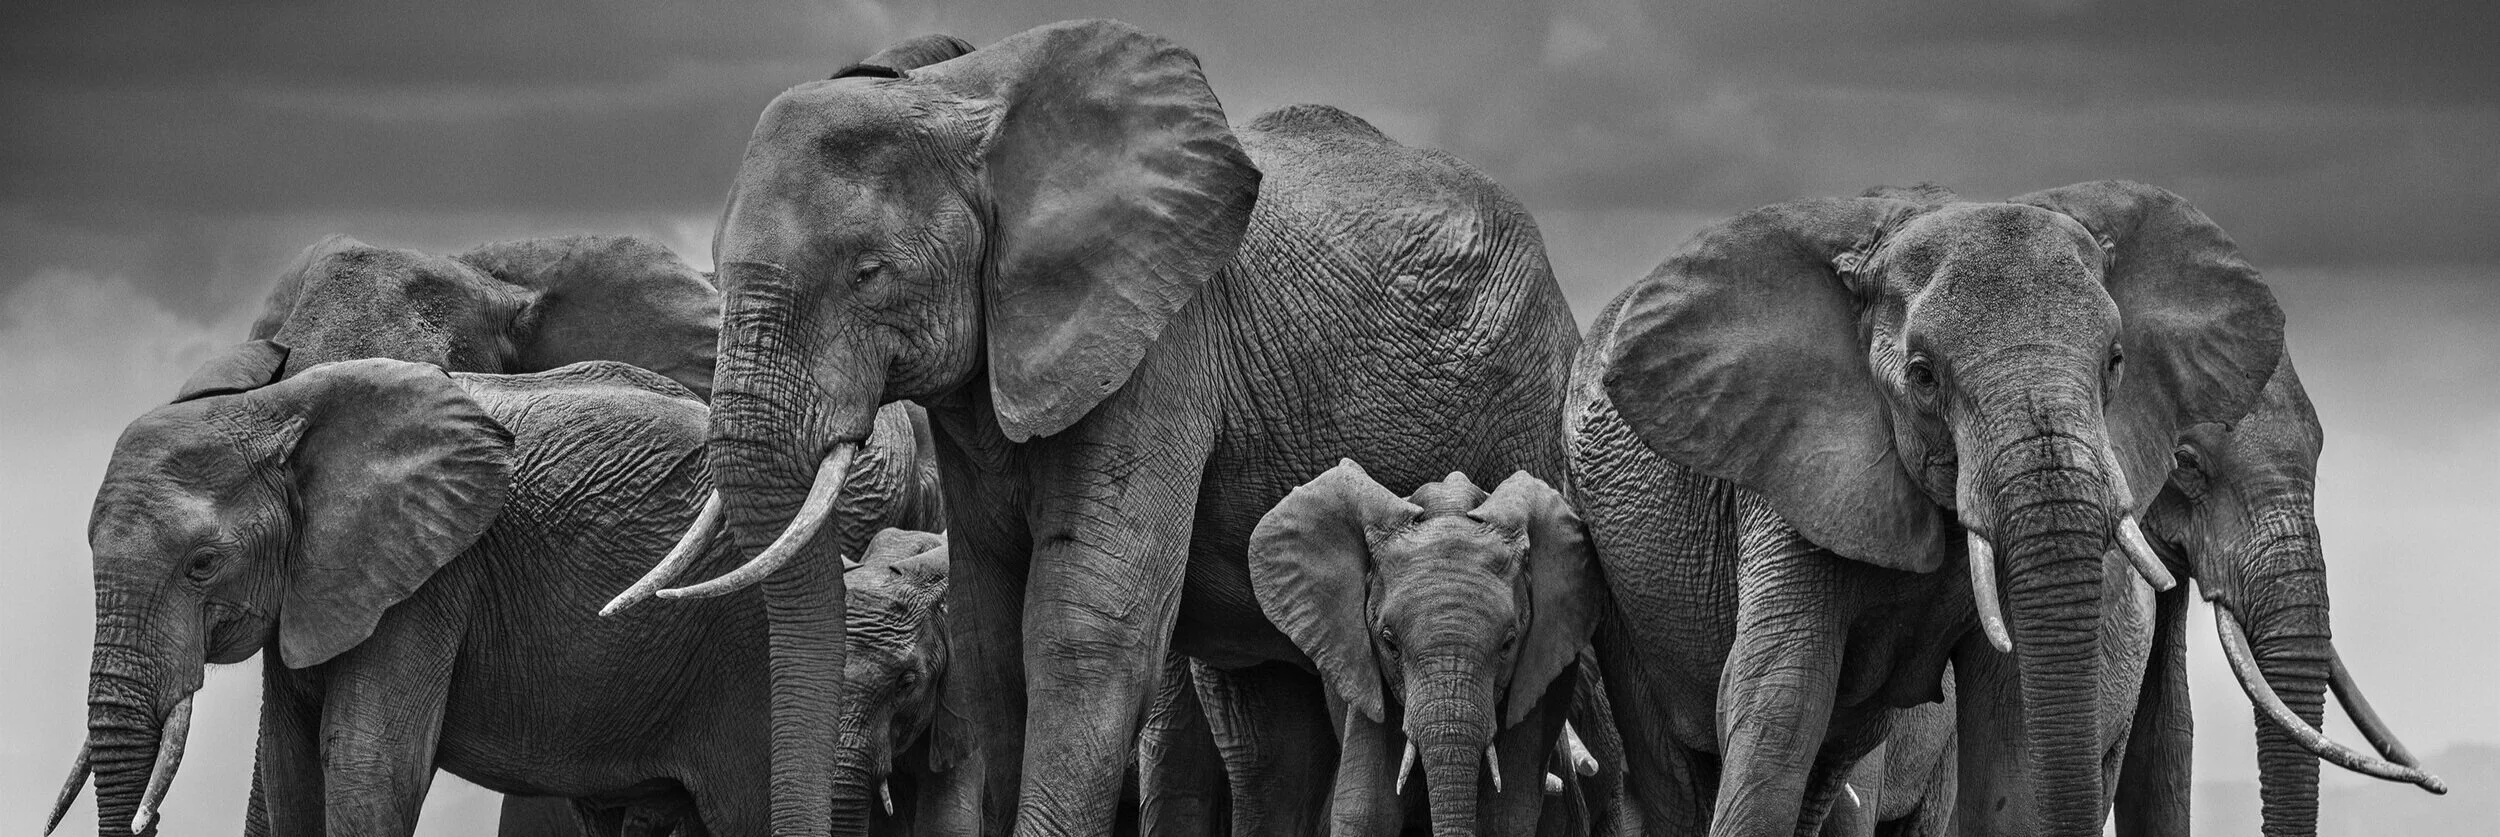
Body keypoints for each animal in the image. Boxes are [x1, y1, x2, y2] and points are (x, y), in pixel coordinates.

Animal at [42, 347, 936, 836]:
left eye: (201, 563)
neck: (273, 407)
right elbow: (292, 771)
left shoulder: (432, 579)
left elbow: (367, 763)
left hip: (746, 657)